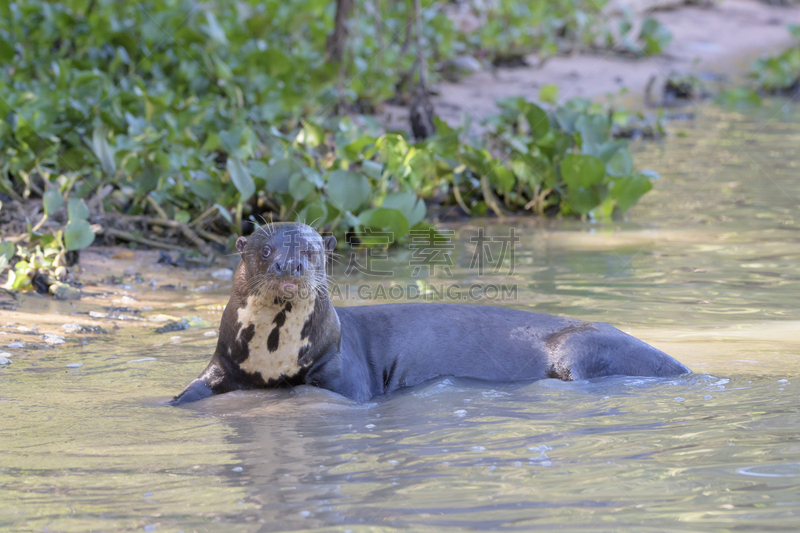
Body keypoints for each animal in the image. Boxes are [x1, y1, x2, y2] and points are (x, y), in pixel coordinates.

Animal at [172, 221, 692, 404]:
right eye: (265, 250)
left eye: (311, 251)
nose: (290, 266)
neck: (273, 357)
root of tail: (682, 366)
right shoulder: (224, 361)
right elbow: (192, 390)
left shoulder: (343, 373)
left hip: (582, 349)